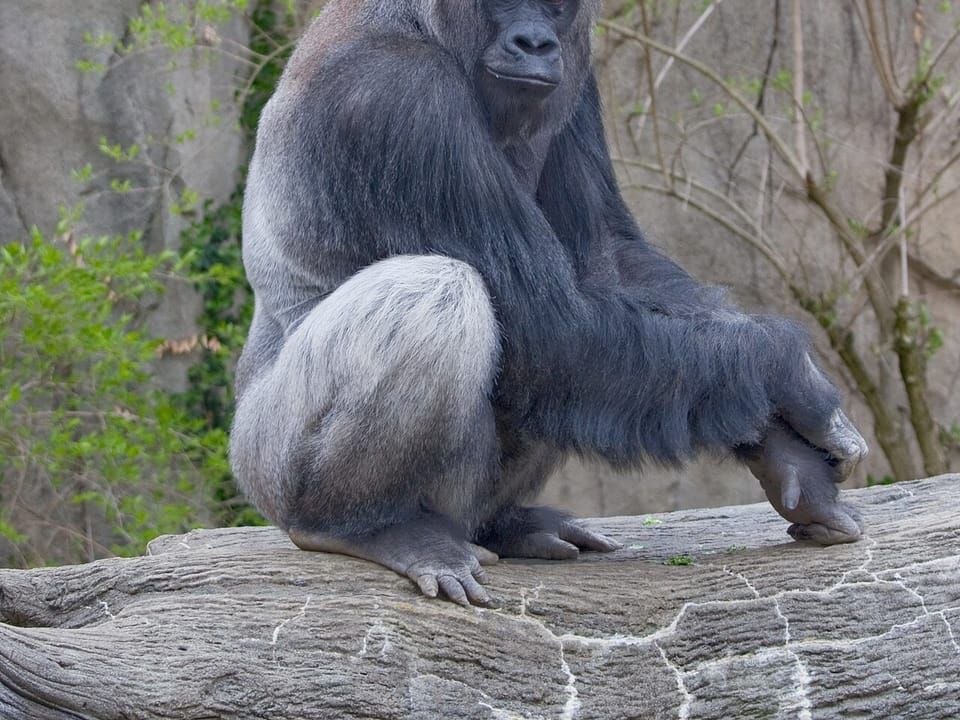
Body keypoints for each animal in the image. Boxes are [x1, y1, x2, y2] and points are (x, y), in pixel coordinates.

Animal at [230, 0, 868, 606]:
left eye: (556, 3)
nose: (534, 43)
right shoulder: (396, 97)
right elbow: (552, 325)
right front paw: (794, 380)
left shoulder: (578, 84)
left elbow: (606, 263)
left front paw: (784, 453)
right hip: (262, 465)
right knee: (437, 292)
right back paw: (359, 526)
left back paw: (507, 526)